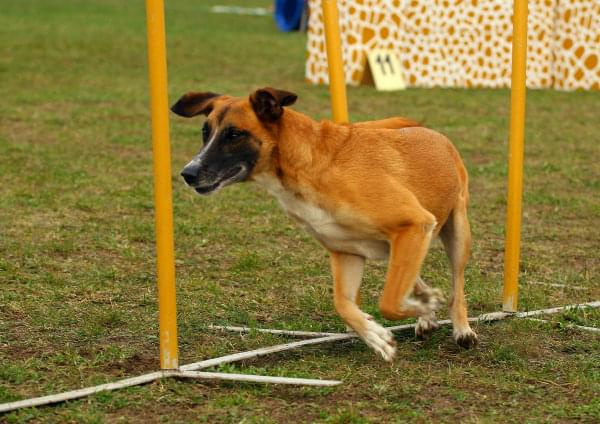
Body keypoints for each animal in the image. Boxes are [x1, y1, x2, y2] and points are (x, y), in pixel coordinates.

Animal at [171, 87, 476, 362]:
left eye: (234, 134)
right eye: (205, 132)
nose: (188, 173)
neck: (308, 165)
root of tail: (431, 132)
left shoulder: (414, 223)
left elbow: (389, 301)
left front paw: (419, 312)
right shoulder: (347, 252)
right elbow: (343, 304)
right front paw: (377, 335)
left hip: (455, 232)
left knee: (456, 284)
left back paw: (461, 328)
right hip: (396, 245)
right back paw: (425, 310)